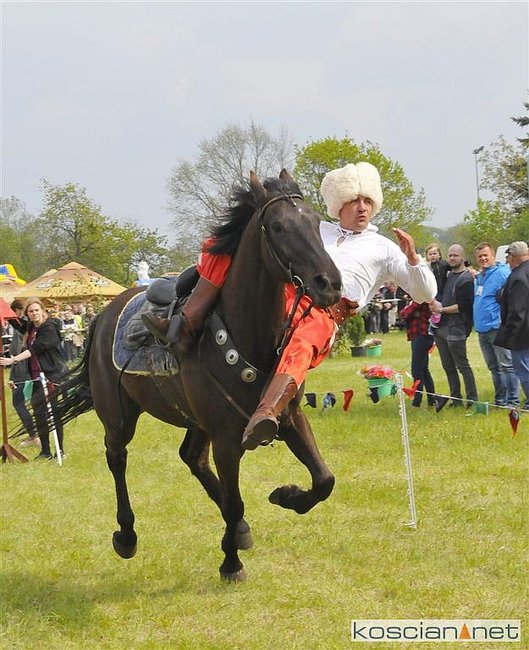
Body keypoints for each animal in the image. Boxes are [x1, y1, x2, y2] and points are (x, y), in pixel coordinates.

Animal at [58, 170, 342, 581]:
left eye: (316, 222)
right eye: (278, 226)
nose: (329, 284)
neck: (247, 334)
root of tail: (103, 314)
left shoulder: (288, 418)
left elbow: (324, 481)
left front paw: (286, 496)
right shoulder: (226, 440)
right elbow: (237, 501)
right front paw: (231, 563)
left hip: (193, 421)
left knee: (192, 458)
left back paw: (238, 531)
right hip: (118, 417)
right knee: (117, 458)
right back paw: (127, 535)